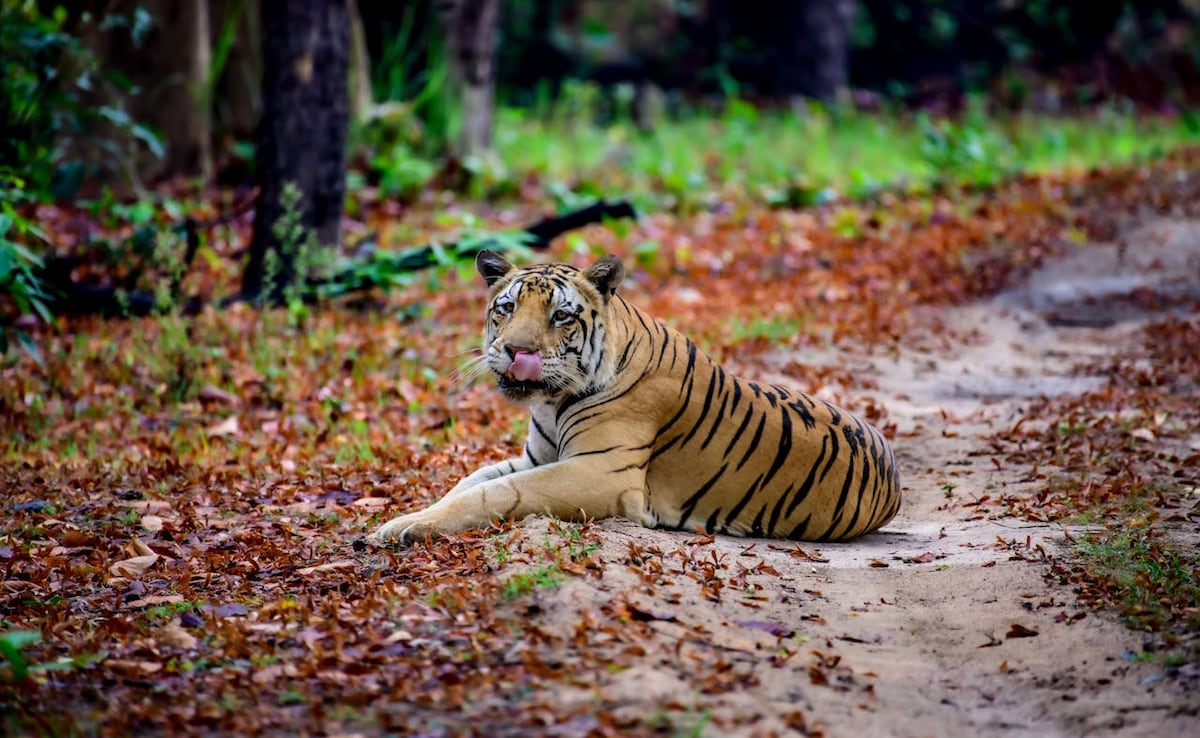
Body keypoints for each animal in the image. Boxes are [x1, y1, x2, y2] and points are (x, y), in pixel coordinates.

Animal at [371, 250, 900, 545]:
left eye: (560, 316)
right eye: (506, 308)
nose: (517, 351)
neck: (553, 400)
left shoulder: (600, 471)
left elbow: (494, 492)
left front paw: (401, 529)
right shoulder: (537, 456)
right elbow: (468, 481)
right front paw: (404, 517)